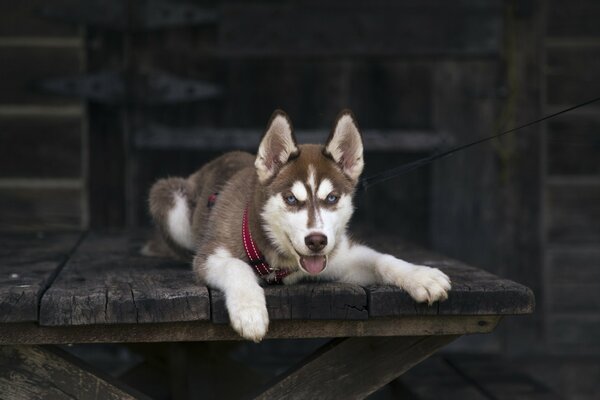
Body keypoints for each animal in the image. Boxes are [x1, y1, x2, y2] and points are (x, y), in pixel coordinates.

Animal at [145, 111, 450, 342]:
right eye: (291, 199)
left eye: (332, 198)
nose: (316, 241)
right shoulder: (211, 255)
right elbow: (237, 266)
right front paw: (250, 311)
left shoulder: (340, 256)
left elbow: (381, 259)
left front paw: (422, 276)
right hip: (169, 197)